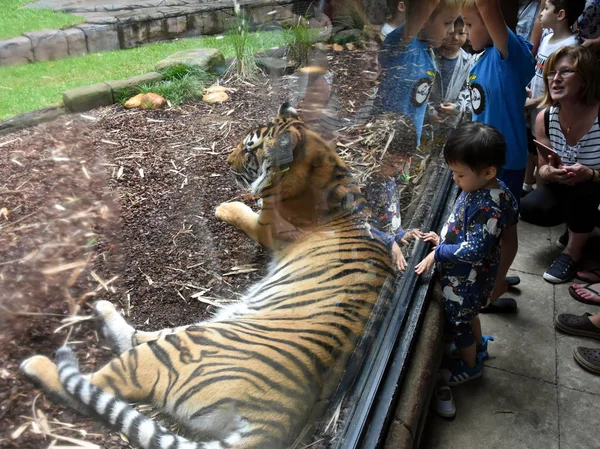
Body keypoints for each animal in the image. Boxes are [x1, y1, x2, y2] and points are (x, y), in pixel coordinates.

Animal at [19, 101, 394, 448]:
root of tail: (277, 418)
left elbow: (244, 211)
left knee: (91, 387)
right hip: (207, 326)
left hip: (185, 346)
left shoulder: (265, 227)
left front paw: (224, 206)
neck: (325, 166)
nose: (227, 163)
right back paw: (102, 309)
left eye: (249, 148)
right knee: (136, 339)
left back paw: (37, 363)